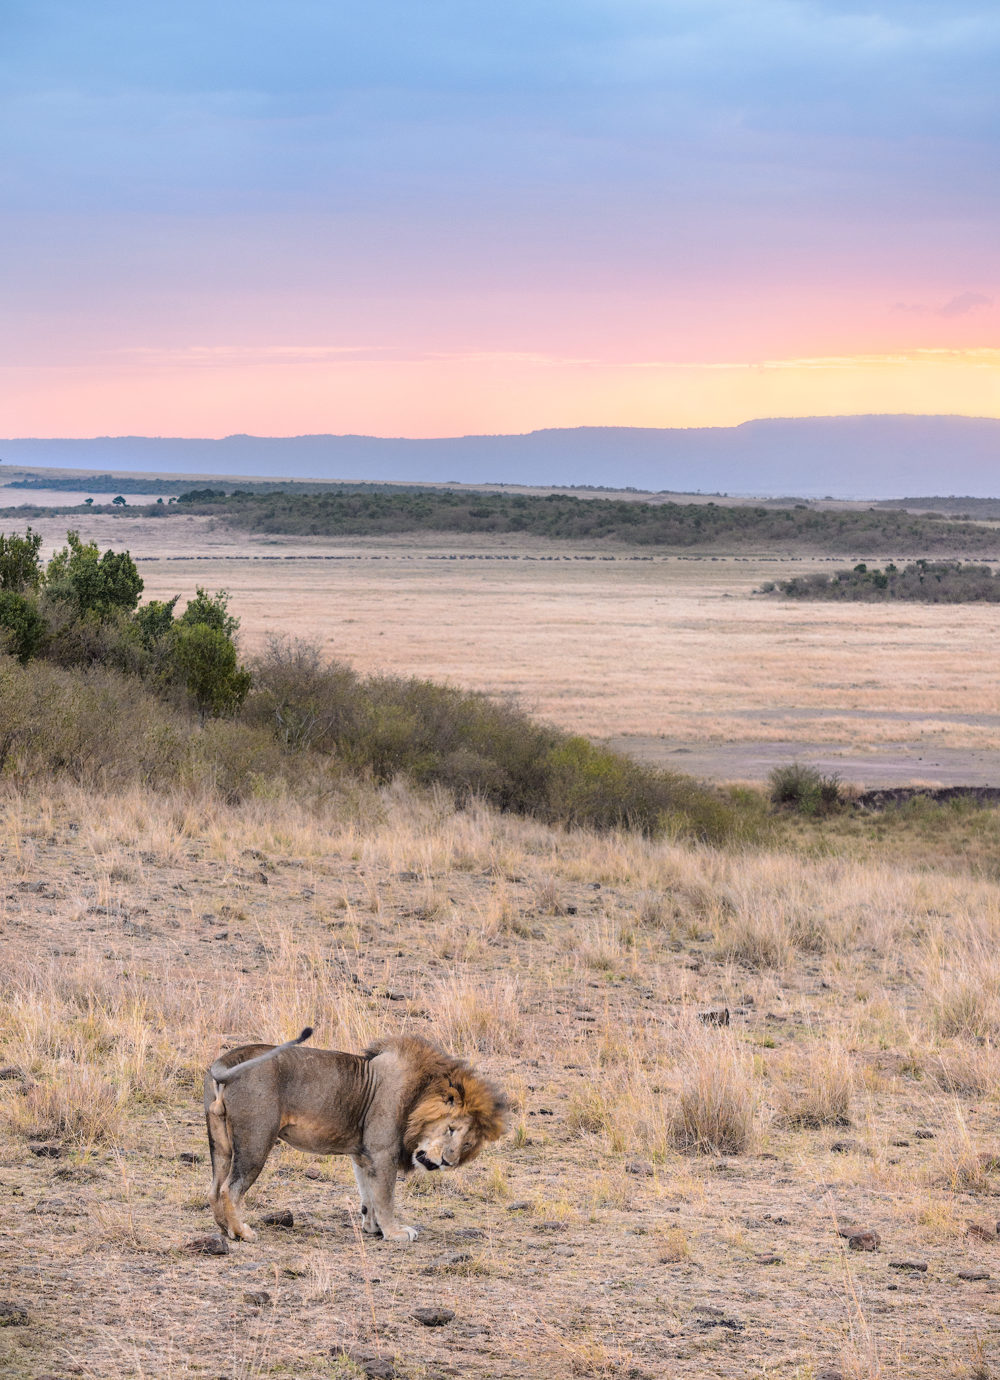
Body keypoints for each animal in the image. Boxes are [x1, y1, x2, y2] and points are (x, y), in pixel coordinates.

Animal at [201, 1026, 502, 1242]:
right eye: (451, 1129)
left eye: (467, 1144)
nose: (448, 1162)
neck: (420, 1094)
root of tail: (226, 1059)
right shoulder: (383, 1152)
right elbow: (385, 1196)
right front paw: (395, 1232)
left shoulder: (362, 1155)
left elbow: (369, 1194)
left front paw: (373, 1228)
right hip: (257, 1139)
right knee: (230, 1189)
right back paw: (242, 1233)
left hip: (220, 1140)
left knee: (214, 1188)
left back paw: (224, 1229)